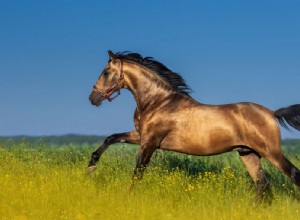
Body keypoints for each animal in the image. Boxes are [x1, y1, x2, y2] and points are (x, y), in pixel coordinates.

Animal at [88, 50, 300, 196]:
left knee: (293, 174)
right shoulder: (141, 136)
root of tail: (271, 113)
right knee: (262, 185)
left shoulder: (150, 141)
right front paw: (91, 165)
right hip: (248, 153)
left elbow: (137, 173)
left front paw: (129, 198)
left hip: (270, 151)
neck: (158, 102)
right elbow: (112, 138)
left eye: (106, 73)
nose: (92, 98)